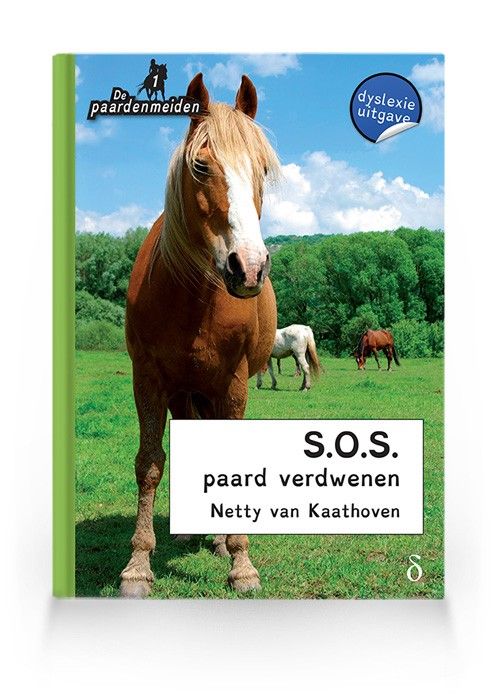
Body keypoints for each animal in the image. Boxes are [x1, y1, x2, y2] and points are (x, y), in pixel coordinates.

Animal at [120, 73, 281, 598]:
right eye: (201, 165)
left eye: (262, 169)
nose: (248, 268)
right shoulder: (149, 380)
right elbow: (149, 463)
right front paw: (138, 565)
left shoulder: (232, 382)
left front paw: (241, 563)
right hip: (185, 393)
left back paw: (218, 541)